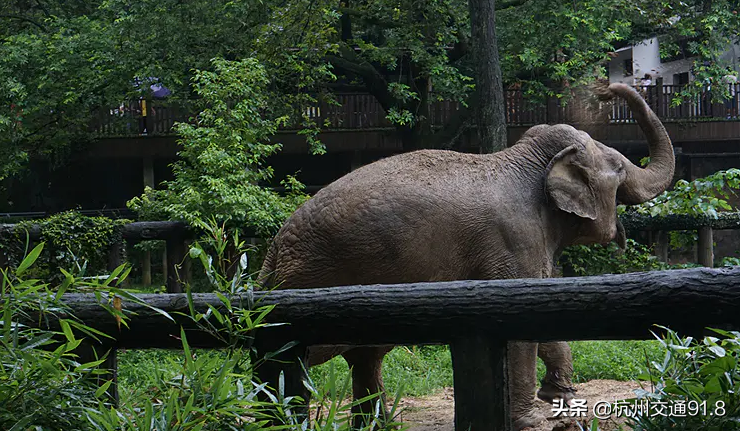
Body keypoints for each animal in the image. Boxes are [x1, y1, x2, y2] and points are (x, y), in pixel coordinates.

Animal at [258, 82, 676, 430]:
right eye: (620, 168)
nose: (605, 90)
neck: (525, 159)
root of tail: (274, 249)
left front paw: (562, 400)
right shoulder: (514, 241)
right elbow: (521, 322)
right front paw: (533, 420)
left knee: (365, 357)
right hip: (315, 278)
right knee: (292, 360)